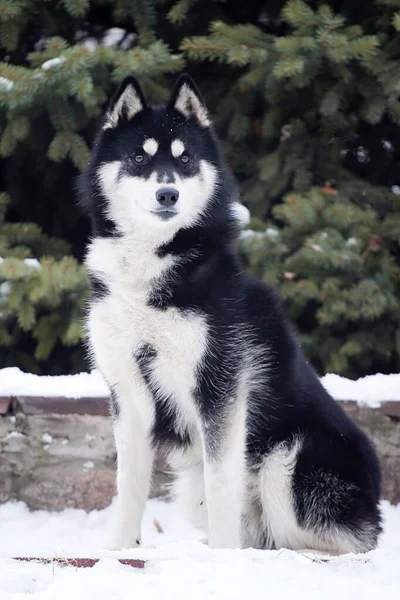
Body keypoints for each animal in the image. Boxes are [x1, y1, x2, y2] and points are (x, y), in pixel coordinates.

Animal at [79, 74, 382, 552]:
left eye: (185, 159)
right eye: (138, 157)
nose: (168, 193)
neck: (152, 271)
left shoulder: (220, 390)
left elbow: (222, 485)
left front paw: (223, 559)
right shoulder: (127, 393)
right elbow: (128, 487)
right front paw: (118, 551)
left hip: (288, 458)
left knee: (327, 543)